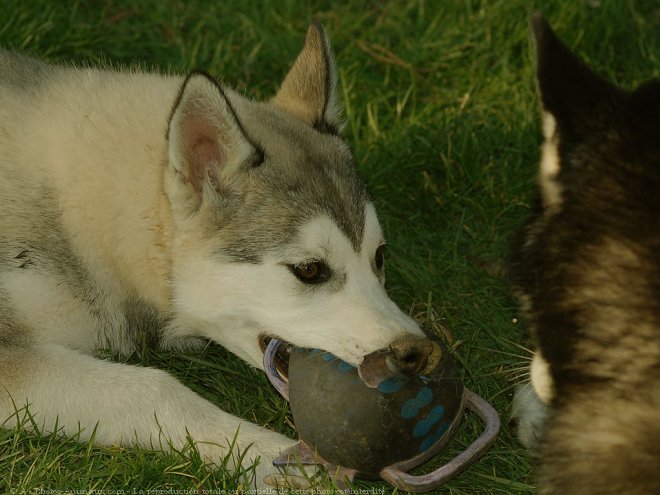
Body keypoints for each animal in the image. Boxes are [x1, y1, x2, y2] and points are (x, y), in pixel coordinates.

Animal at [0, 26, 434, 488]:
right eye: (310, 270)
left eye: (379, 257)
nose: (417, 352)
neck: (84, 214)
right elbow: (154, 388)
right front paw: (279, 458)